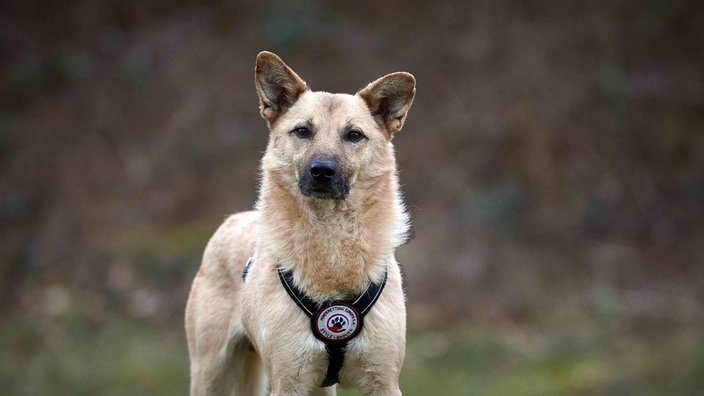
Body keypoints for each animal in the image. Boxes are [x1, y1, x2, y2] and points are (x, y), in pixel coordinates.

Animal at [187, 52, 416, 396]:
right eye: (302, 131)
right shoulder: (288, 381)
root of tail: (235, 219)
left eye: (354, 135)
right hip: (211, 372)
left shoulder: (383, 382)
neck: (331, 237)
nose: (322, 171)